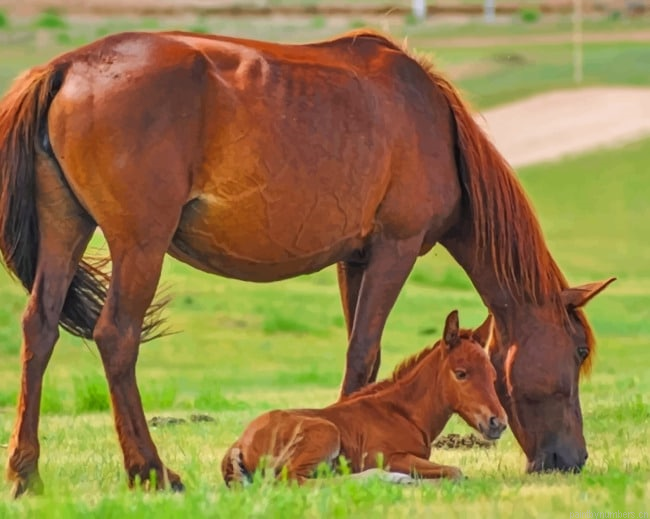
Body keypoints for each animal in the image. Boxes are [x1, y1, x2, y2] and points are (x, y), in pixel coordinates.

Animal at [222, 310, 507, 486]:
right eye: (461, 373)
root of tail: (239, 443)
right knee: (294, 481)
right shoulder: (391, 457)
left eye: (493, 375)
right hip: (325, 433)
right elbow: (455, 472)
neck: (402, 413)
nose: (498, 423)